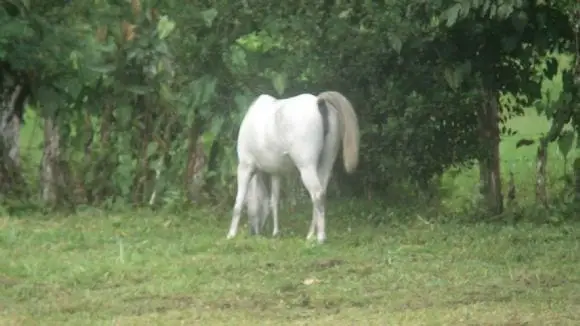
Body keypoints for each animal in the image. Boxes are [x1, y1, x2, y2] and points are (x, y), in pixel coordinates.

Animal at [225, 90, 358, 243]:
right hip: (325, 164)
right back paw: (310, 235)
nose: (254, 231)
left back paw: (320, 237)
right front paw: (276, 232)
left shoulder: (245, 167)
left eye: (248, 204)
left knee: (317, 194)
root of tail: (318, 101)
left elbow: (239, 201)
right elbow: (274, 201)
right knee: (321, 193)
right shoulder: (275, 172)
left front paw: (231, 234)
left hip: (306, 167)